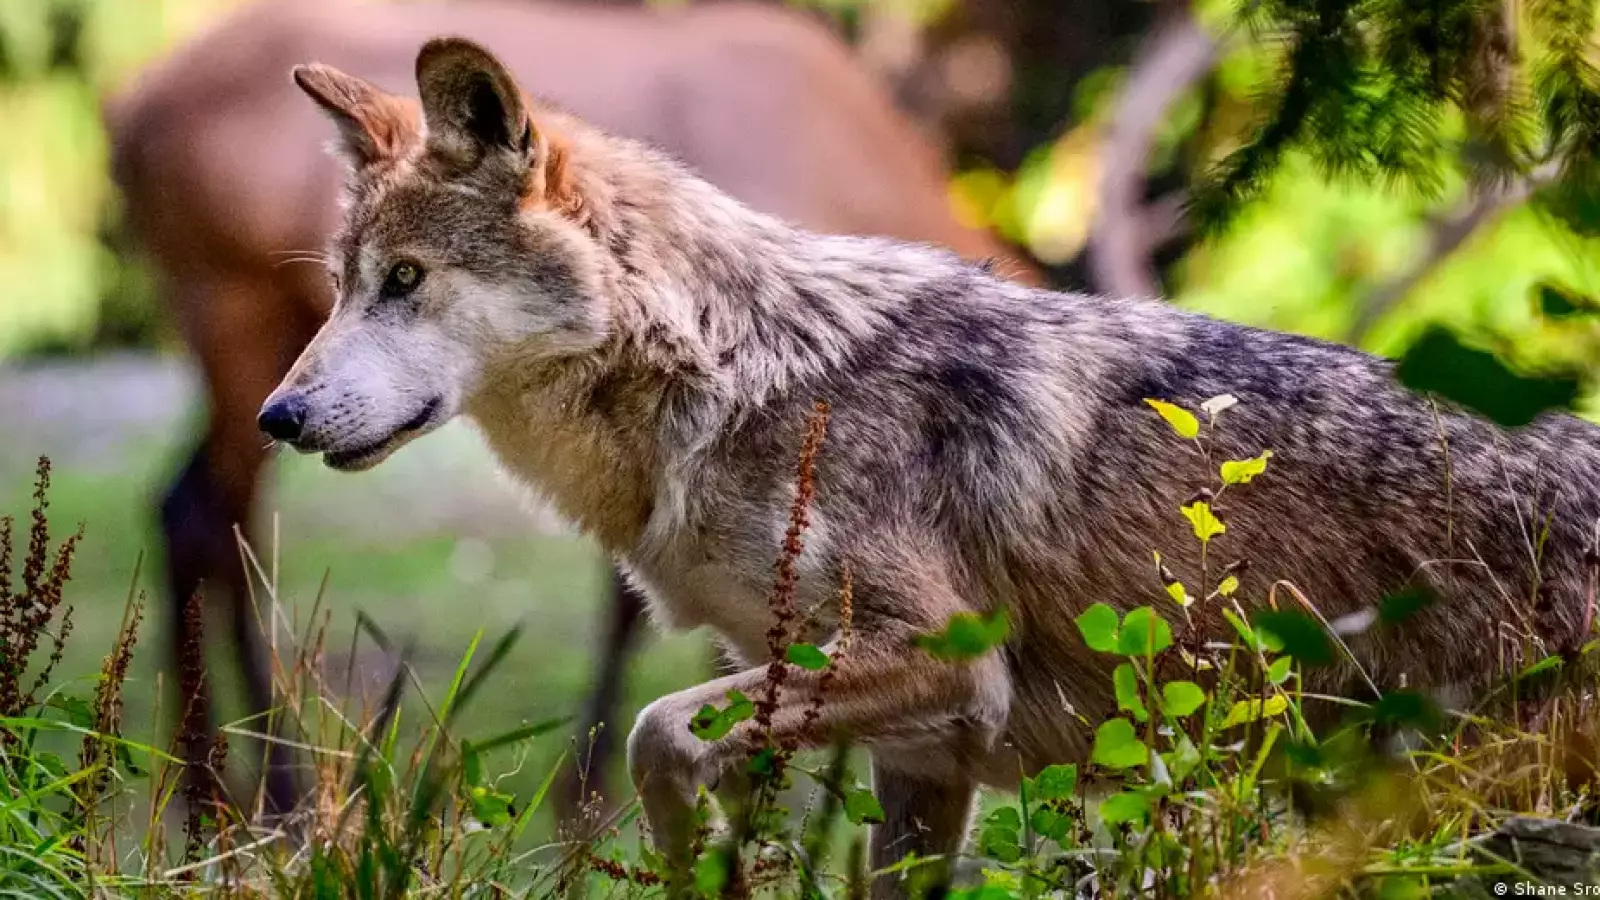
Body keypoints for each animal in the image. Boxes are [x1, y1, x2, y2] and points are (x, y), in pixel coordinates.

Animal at [261, 37, 1599, 893]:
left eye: (407, 281)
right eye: (342, 286)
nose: (277, 414)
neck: (742, 377)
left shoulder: (946, 665)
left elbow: (652, 733)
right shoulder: (926, 756)